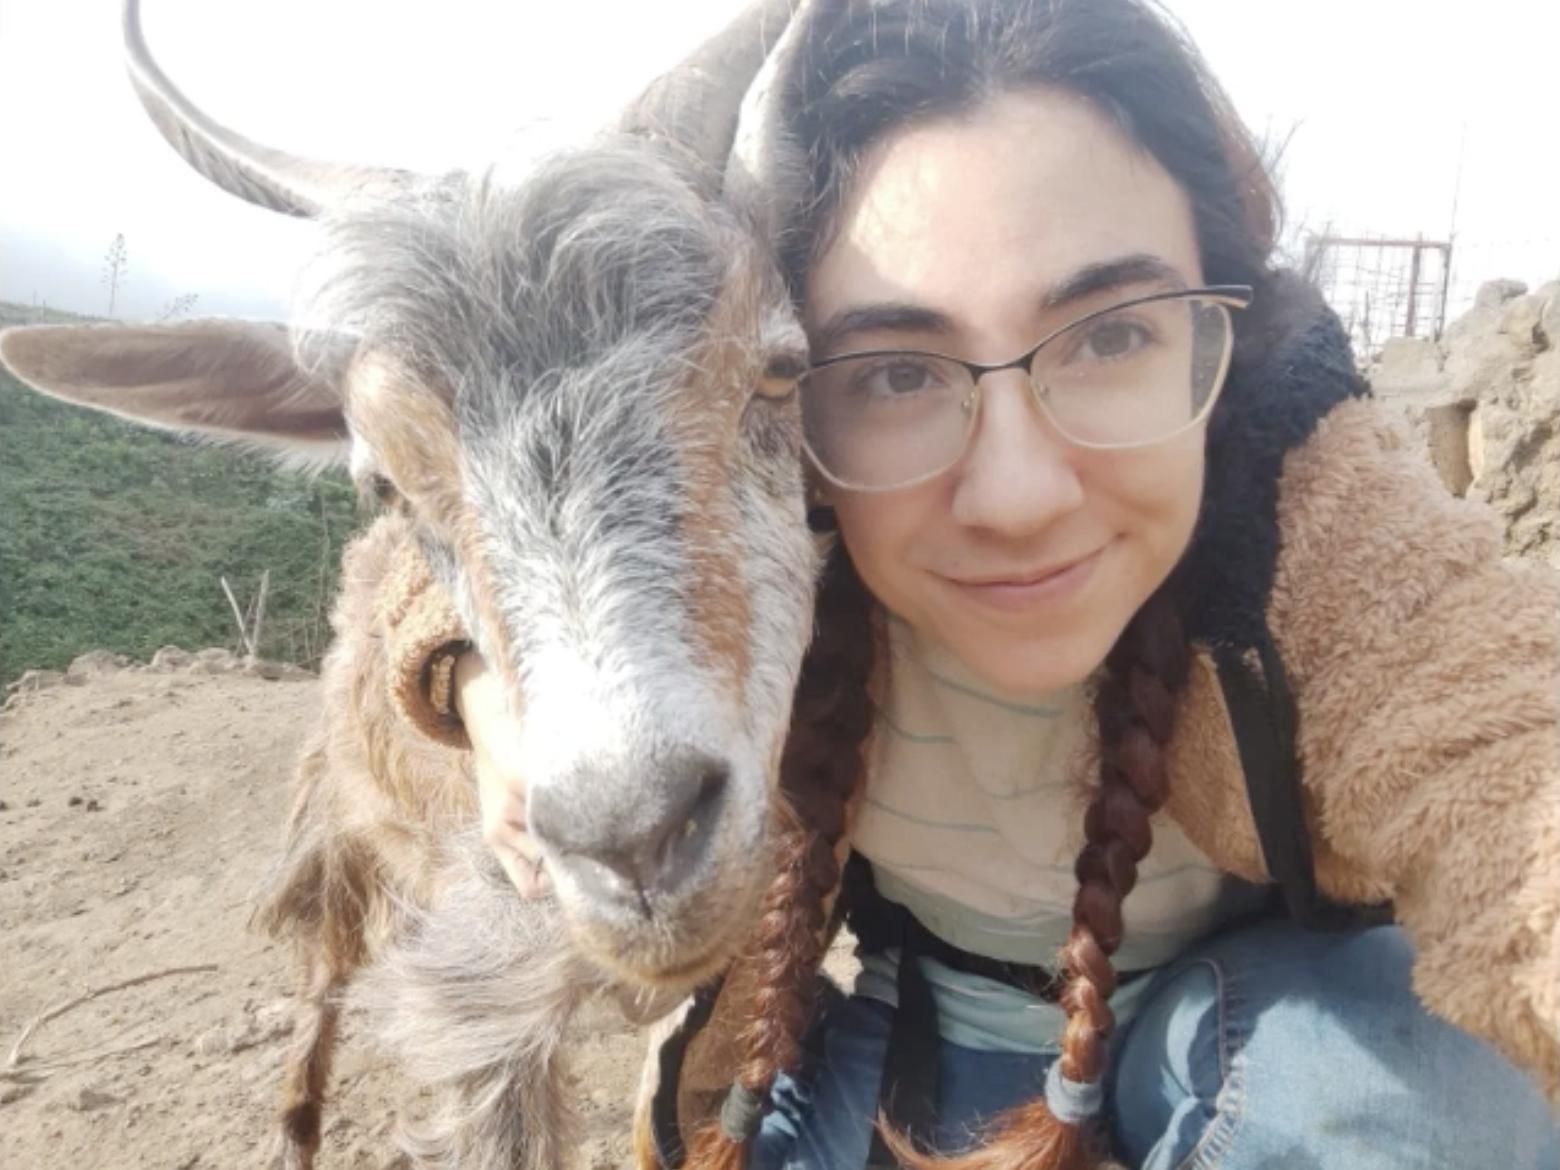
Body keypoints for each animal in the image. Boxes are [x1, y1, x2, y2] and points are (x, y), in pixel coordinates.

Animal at [0, 1, 814, 1166]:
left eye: (785, 370)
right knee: (317, 1014)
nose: (633, 838)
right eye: (382, 478)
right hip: (333, 836)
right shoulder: (484, 996)